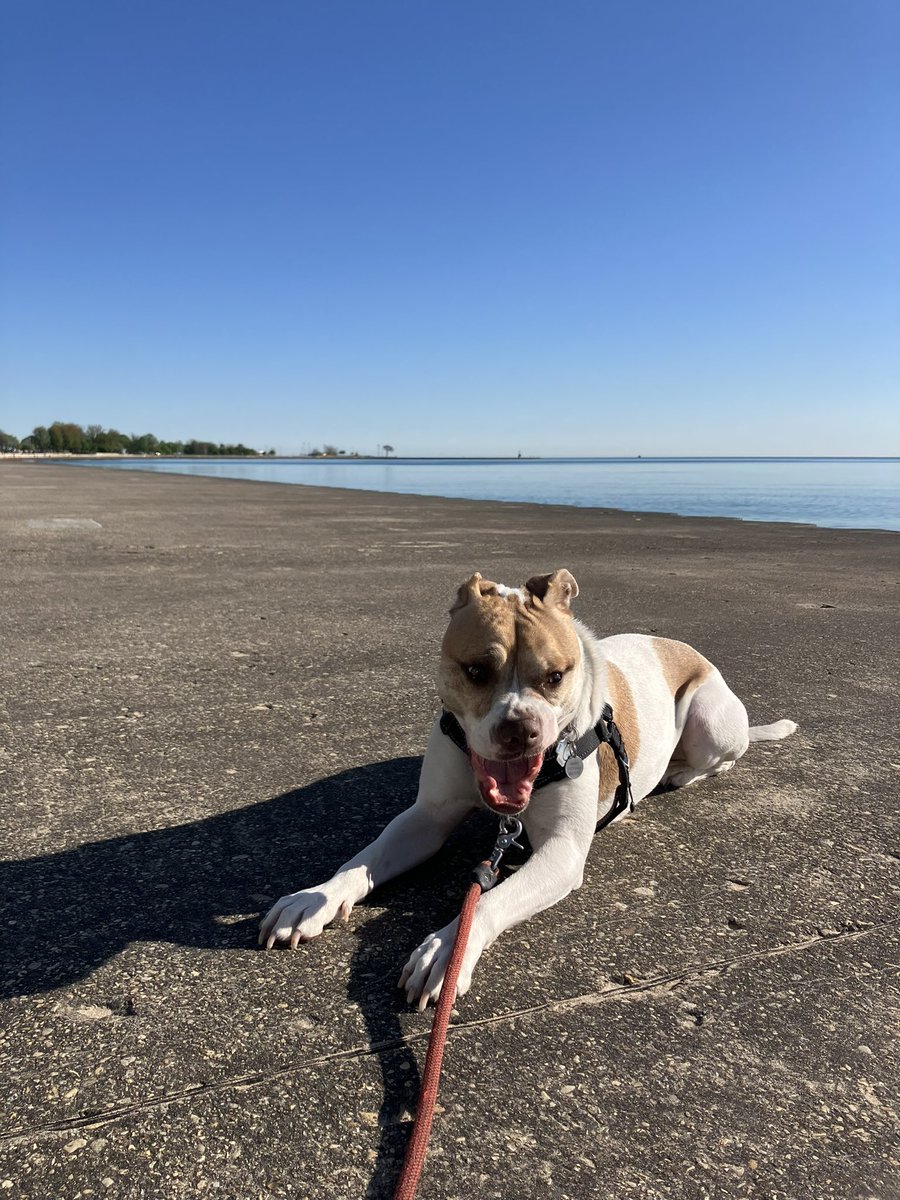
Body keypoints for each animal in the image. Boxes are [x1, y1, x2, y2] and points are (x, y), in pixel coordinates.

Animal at [259, 566, 796, 1008]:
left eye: (555, 676)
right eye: (476, 671)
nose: (520, 729)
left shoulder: (561, 851)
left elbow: (487, 901)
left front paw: (448, 949)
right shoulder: (426, 818)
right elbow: (361, 860)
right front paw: (315, 897)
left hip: (711, 720)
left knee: (722, 759)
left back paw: (678, 772)